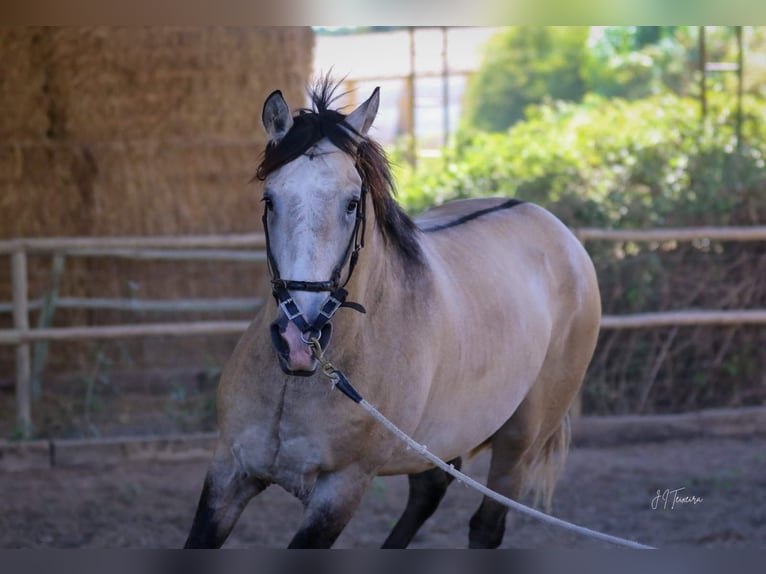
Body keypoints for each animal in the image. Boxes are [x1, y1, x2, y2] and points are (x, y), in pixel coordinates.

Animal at [183, 79, 604, 552]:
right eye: (269, 199)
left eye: (352, 203)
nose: (298, 340)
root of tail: (557, 230)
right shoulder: (228, 470)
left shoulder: (341, 489)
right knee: (430, 490)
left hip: (521, 439)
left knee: (486, 524)